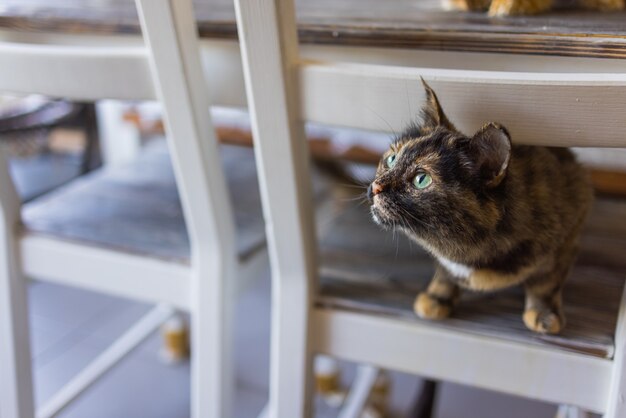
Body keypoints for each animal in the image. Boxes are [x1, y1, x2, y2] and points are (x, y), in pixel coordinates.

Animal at [368, 81, 592, 334]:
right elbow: (444, 273)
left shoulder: (568, 236)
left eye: (421, 179)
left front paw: (544, 314)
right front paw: (437, 298)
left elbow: (546, 283)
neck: (466, 247)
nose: (375, 187)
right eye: (392, 159)